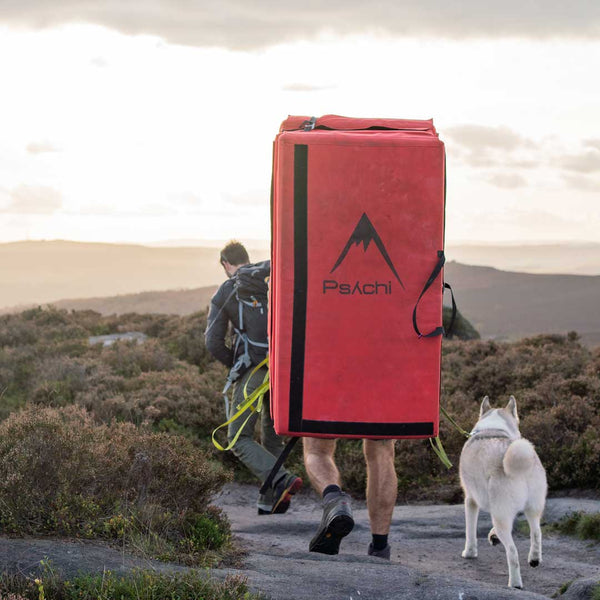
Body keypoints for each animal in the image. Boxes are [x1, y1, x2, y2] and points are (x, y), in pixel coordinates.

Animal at [460, 396, 548, 588]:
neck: (493, 429)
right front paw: (492, 536)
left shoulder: (470, 500)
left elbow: (470, 531)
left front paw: (469, 552)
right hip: (532, 510)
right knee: (536, 532)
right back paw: (534, 559)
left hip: (502, 517)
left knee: (513, 552)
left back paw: (515, 584)